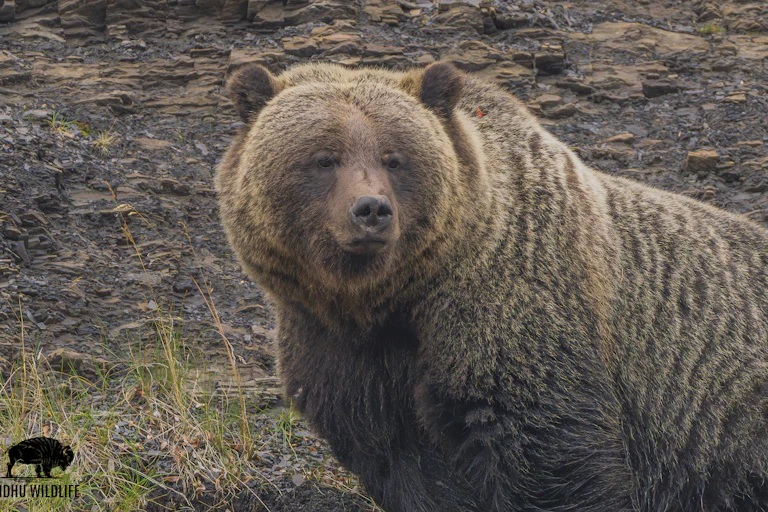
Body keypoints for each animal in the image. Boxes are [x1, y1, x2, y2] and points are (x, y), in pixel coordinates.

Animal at [215, 61, 768, 511]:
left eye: (394, 158)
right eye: (324, 157)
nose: (371, 210)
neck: (389, 298)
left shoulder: (508, 310)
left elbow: (546, 453)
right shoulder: (336, 348)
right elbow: (401, 461)